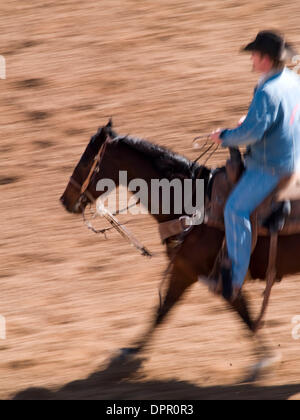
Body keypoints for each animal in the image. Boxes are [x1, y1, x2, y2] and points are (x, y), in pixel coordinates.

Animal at [60, 120, 298, 376]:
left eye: (86, 161)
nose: (64, 200)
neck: (192, 204)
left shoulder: (203, 272)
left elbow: (241, 312)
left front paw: (266, 358)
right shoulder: (184, 270)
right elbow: (162, 311)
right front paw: (129, 352)